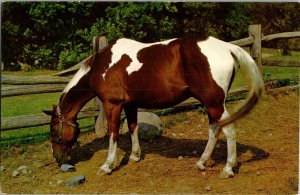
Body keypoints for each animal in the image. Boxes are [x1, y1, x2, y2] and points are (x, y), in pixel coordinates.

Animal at [43, 35, 264, 179]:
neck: (103, 65)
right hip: (211, 104)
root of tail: (227, 47)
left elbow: (113, 133)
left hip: (214, 103)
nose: (57, 158)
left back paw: (227, 169)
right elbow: (132, 128)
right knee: (214, 130)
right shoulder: (130, 104)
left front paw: (107, 166)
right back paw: (201, 162)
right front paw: (135, 156)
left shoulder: (112, 104)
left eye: (53, 130)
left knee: (229, 130)